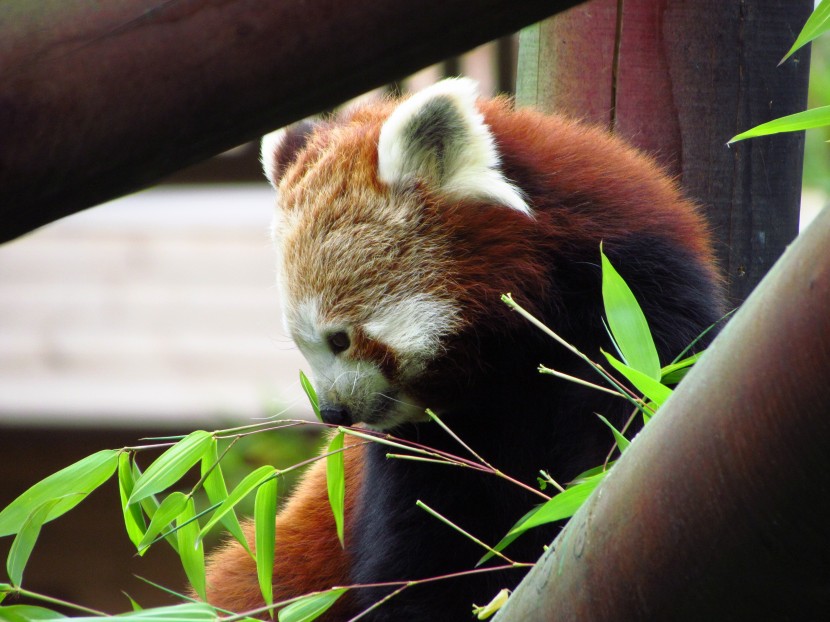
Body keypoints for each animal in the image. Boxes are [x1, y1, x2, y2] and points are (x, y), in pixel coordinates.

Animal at [205, 80, 724, 620]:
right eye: (304, 345)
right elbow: (421, 547)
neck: (505, 363)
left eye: (339, 339)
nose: (332, 413)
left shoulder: (635, 301)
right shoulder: (423, 442)